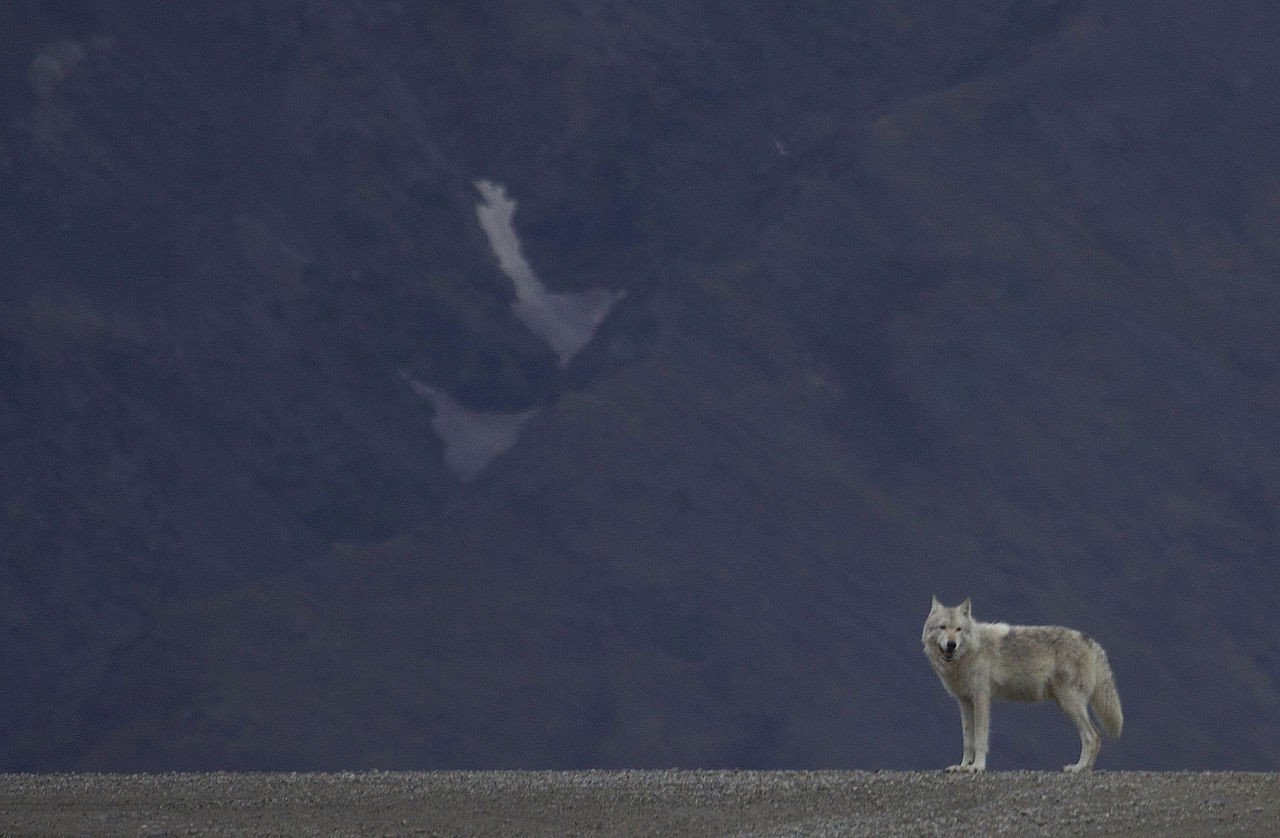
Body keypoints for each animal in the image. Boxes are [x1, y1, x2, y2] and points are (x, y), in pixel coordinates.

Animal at [922, 596, 1123, 772]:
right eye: (942, 627)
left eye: (958, 629)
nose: (951, 644)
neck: (970, 652)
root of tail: (1090, 641)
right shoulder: (964, 702)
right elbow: (967, 740)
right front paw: (963, 766)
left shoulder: (981, 699)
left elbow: (980, 739)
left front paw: (977, 767)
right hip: (1066, 702)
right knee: (1096, 736)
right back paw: (1085, 768)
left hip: (1070, 703)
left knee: (1092, 736)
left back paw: (1078, 768)